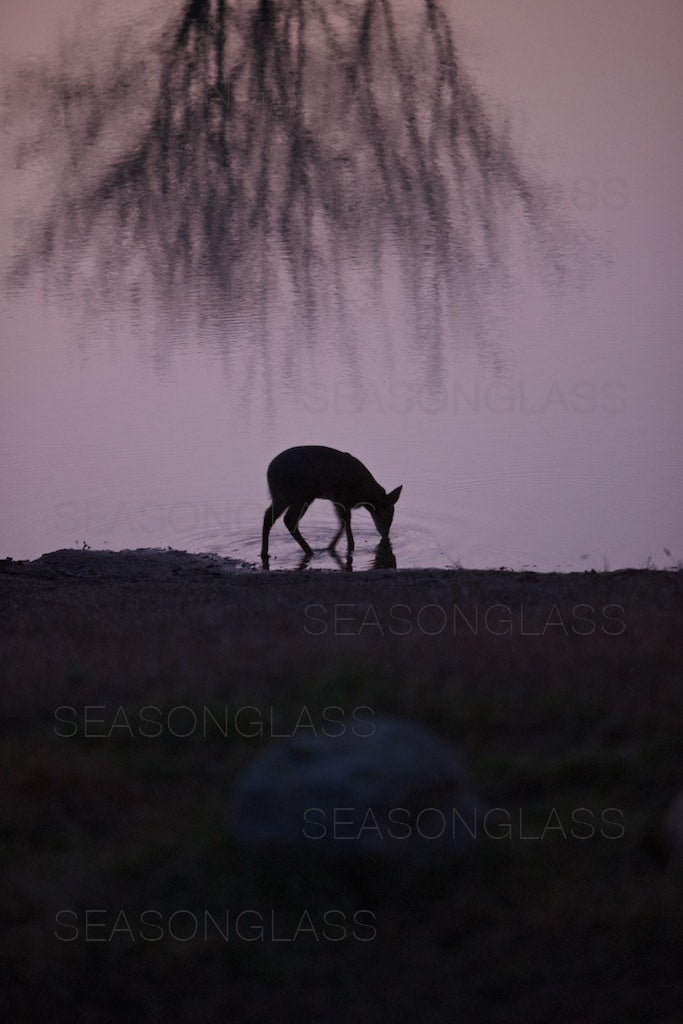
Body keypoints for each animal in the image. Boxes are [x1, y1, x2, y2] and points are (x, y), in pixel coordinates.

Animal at [260, 446, 401, 561]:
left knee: (269, 516)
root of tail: (269, 473)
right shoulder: (342, 498)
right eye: (386, 515)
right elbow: (346, 521)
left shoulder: (336, 500)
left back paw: (265, 553)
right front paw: (350, 546)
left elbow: (342, 523)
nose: (386, 534)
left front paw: (331, 547)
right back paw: (309, 551)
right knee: (289, 519)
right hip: (300, 495)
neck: (363, 494)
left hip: (282, 496)